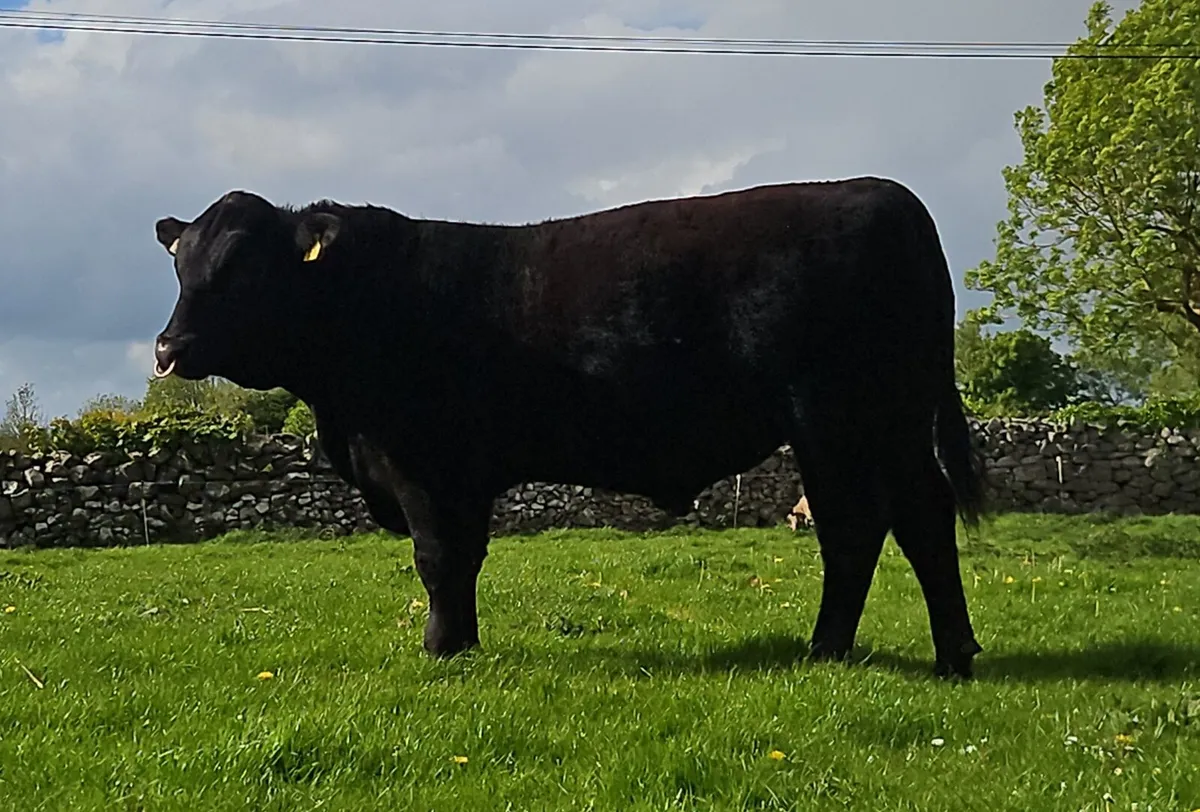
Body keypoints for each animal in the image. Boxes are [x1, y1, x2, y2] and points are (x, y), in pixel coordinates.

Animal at [150, 176, 987, 678]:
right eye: (181, 265)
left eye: (242, 267)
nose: (167, 347)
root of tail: (885, 192)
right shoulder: (452, 473)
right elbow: (461, 560)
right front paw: (462, 643)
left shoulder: (426, 464)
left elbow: (438, 559)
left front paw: (441, 651)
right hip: (885, 423)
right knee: (919, 517)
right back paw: (952, 653)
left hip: (841, 419)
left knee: (860, 527)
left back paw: (830, 650)